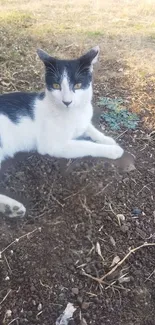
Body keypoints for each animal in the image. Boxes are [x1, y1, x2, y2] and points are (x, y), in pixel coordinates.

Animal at [0, 45, 123, 216]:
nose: (67, 101)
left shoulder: (82, 121)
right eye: (56, 85)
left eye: (77, 85)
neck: (73, 113)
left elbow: (89, 127)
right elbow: (86, 145)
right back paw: (11, 207)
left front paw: (107, 139)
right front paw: (113, 150)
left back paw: (10, 208)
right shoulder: (53, 145)